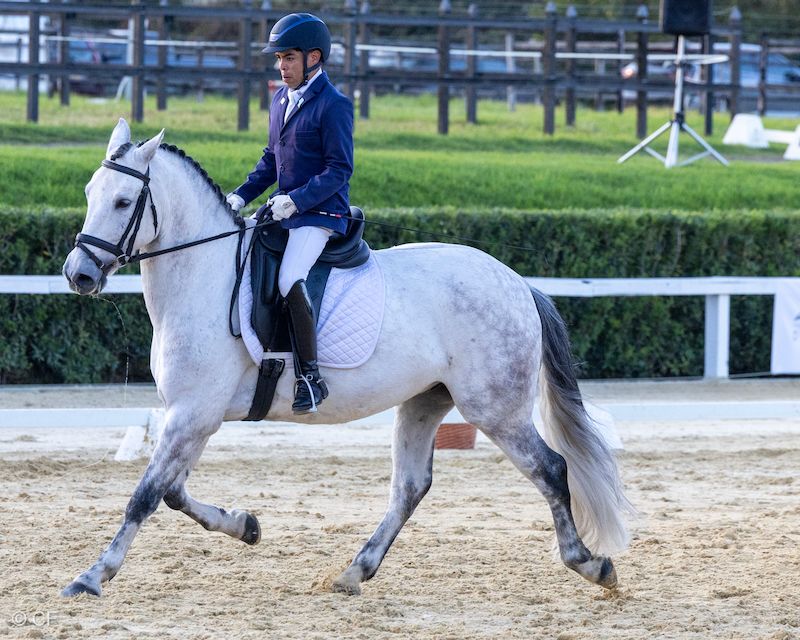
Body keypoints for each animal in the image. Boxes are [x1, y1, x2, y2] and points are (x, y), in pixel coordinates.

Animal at [60, 118, 633, 598]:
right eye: (90, 193)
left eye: (123, 201)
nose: (78, 274)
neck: (204, 275)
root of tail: (518, 284)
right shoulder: (194, 416)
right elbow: (173, 493)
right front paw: (247, 525)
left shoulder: (192, 413)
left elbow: (146, 495)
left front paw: (92, 576)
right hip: (425, 401)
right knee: (410, 487)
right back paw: (355, 571)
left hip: (495, 408)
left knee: (550, 469)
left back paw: (591, 564)